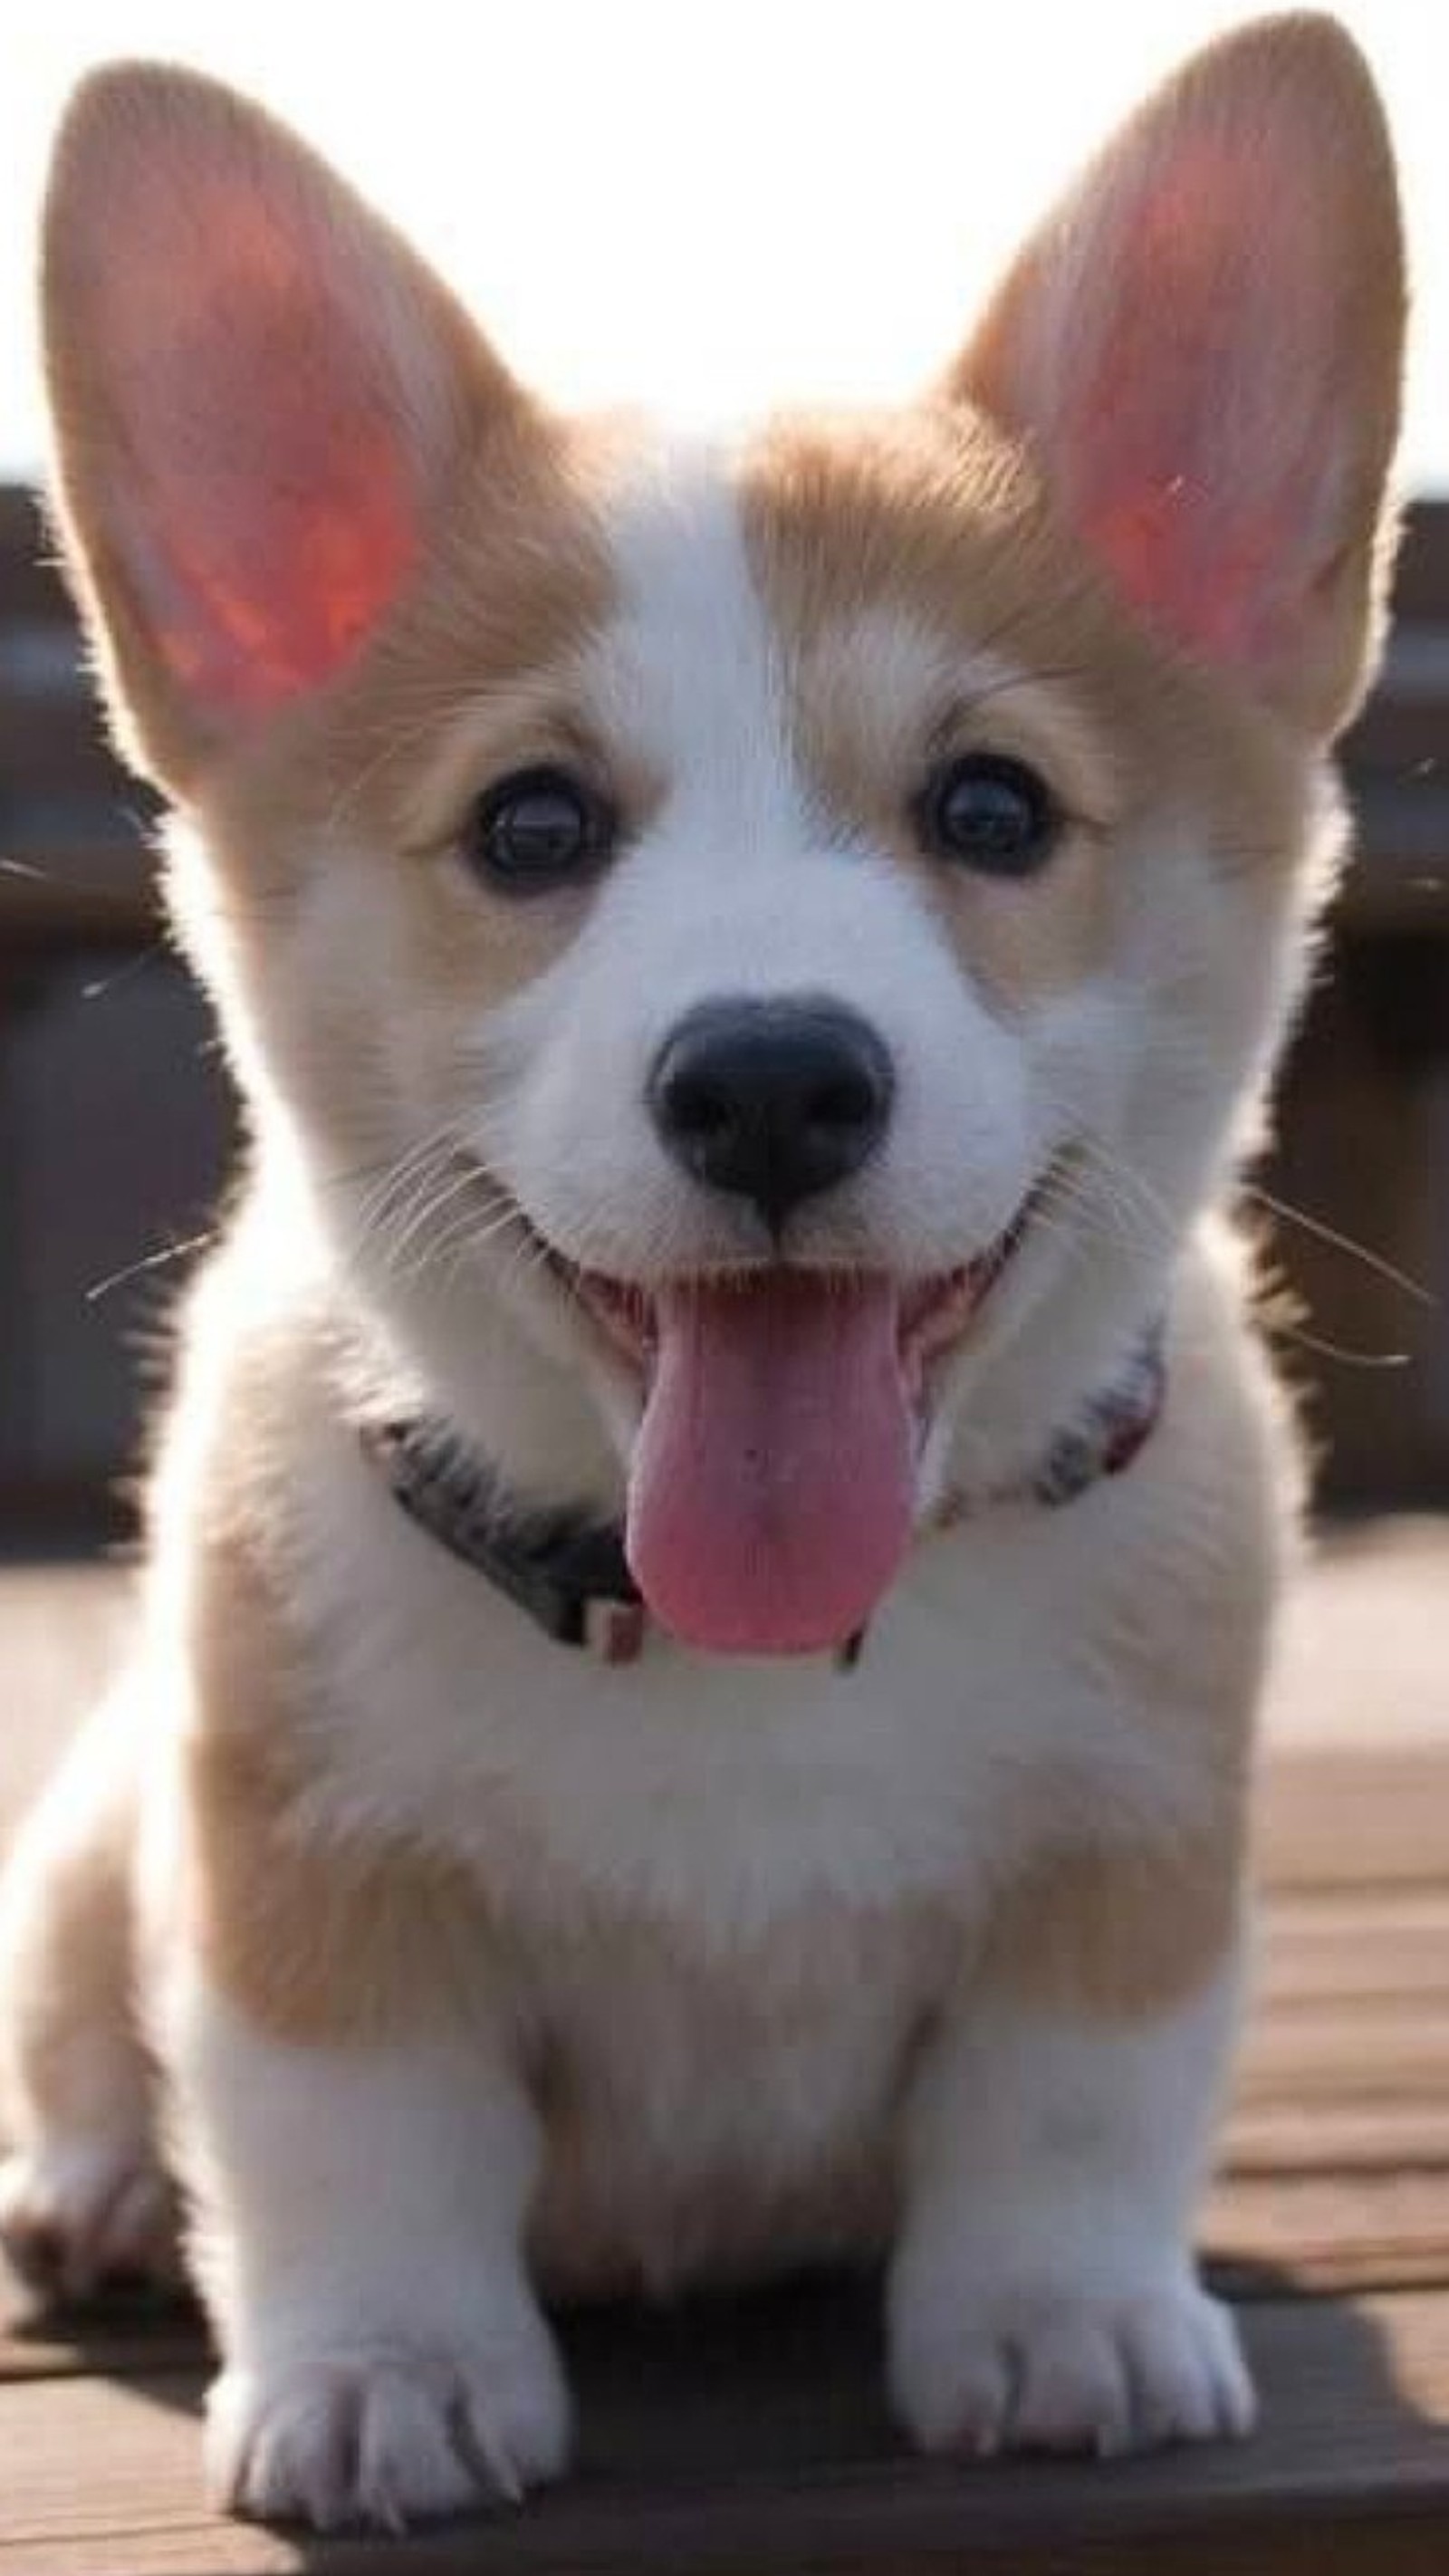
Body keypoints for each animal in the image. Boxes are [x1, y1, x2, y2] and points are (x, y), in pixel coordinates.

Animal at [0, 5, 1410, 2534]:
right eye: (532, 825)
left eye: (990, 809)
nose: (766, 1081)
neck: (745, 1649)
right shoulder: (295, 1878)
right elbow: (349, 2140)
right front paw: (384, 2381)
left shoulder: (1131, 1866)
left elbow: (1067, 2108)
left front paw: (1060, 2331)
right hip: (87, 1835)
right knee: (79, 2029)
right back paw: (97, 2192)